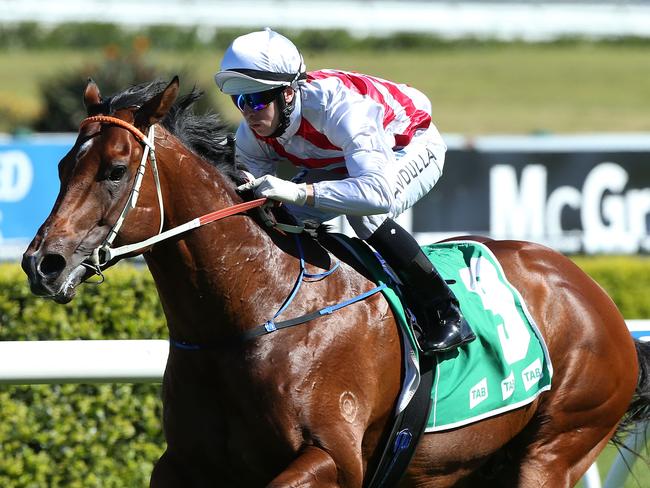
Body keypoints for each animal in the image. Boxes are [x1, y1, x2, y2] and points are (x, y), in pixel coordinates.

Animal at [20, 78, 648, 486]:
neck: (253, 313)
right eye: (62, 167)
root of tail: (593, 294)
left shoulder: (333, 458)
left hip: (555, 447)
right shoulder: (185, 464)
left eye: (115, 170)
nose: (42, 263)